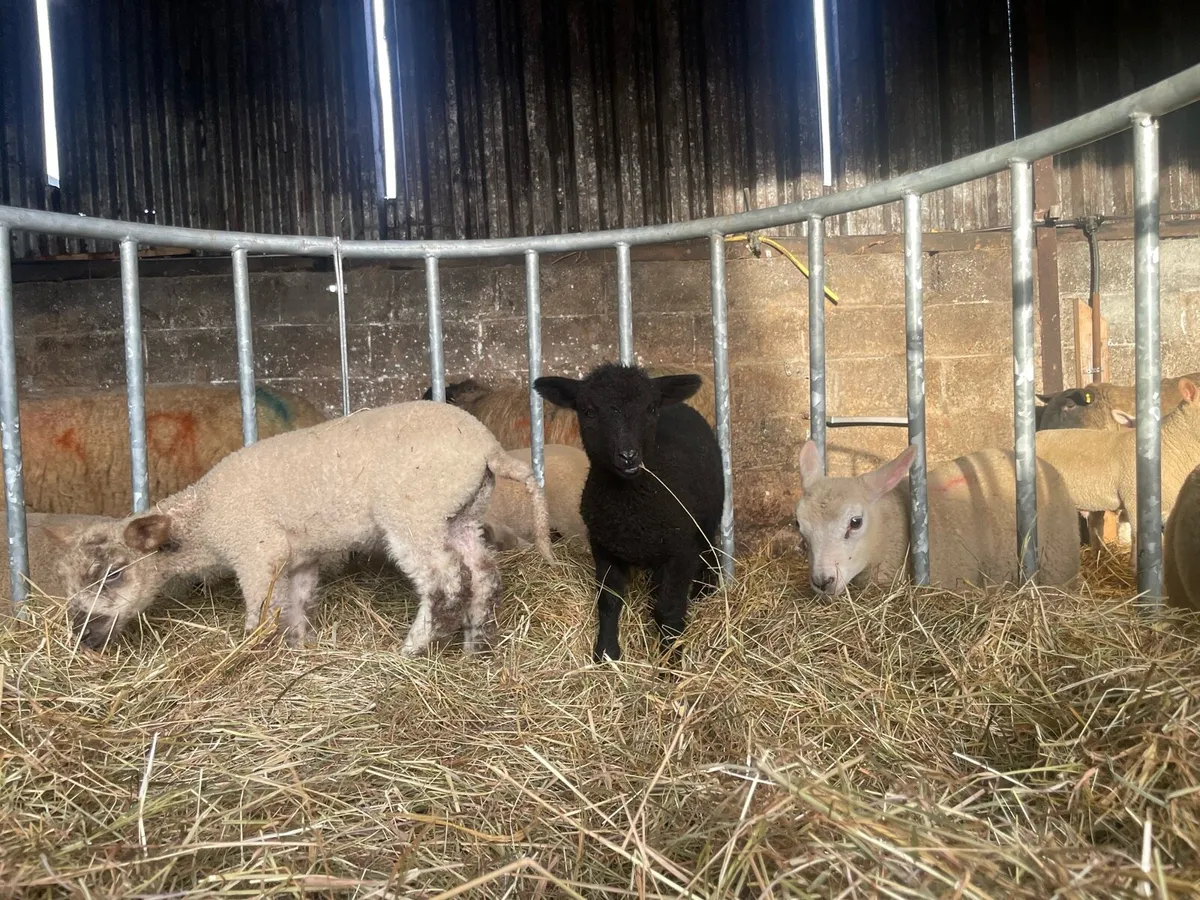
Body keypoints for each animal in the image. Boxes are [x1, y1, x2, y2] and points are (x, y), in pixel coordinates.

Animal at [58, 400, 554, 654]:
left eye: (113, 574)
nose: (81, 636)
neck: (205, 516)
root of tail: (488, 449)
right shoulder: (297, 560)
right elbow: (294, 607)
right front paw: (297, 648)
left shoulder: (256, 551)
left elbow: (261, 612)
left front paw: (249, 654)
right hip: (460, 513)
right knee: (483, 575)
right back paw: (476, 643)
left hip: (413, 509)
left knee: (444, 579)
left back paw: (414, 646)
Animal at [534, 362, 723, 663]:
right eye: (588, 411)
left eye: (651, 408)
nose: (628, 456)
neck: (630, 506)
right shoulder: (603, 547)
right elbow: (609, 601)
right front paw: (606, 653)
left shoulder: (681, 551)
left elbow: (669, 609)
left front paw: (671, 662)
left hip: (706, 524)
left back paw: (705, 589)